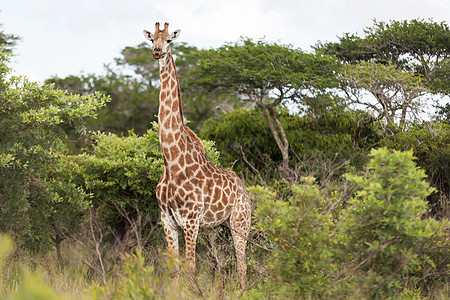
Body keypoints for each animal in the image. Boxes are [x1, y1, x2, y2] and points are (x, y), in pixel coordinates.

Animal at [142, 22, 251, 290]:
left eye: (170, 40)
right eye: (152, 40)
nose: (157, 52)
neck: (170, 160)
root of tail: (244, 188)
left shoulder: (190, 220)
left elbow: (190, 268)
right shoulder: (168, 220)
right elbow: (174, 270)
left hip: (240, 223)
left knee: (242, 267)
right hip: (217, 226)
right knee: (227, 265)